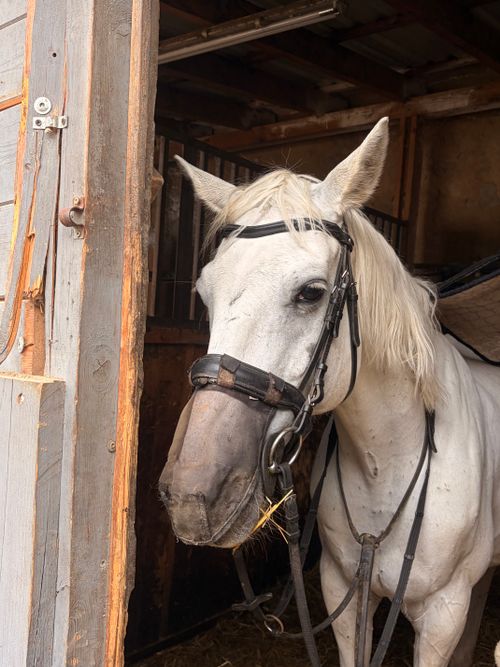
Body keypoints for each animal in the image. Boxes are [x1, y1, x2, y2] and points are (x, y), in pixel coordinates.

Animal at [159, 118, 500, 666]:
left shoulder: (442, 615)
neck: (388, 461)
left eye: (311, 293)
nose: (194, 496)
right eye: (204, 294)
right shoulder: (345, 590)